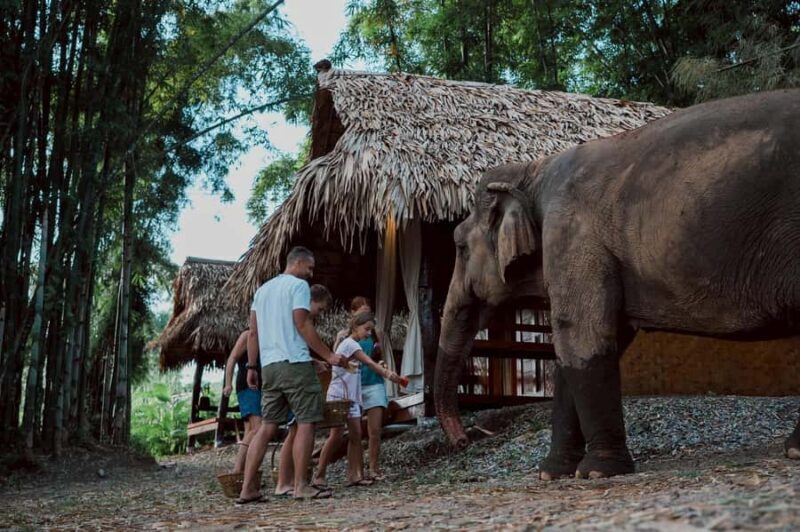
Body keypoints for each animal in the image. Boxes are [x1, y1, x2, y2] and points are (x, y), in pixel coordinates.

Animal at [434, 89, 800, 480]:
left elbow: (583, 335)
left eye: (459, 246)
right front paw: (553, 473)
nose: (464, 440)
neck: (532, 170)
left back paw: (794, 449)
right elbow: (579, 346)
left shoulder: (573, 237)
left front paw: (596, 472)